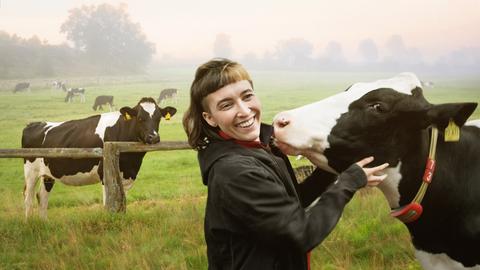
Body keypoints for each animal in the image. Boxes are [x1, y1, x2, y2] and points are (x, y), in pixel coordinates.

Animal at [21, 97, 177, 219]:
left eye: (158, 118)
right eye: (139, 118)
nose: (153, 137)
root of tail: (35, 124)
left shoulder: (127, 175)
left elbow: (123, 203)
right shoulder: (105, 174)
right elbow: (108, 203)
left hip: (48, 174)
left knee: (42, 197)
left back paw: (44, 223)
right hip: (30, 171)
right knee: (28, 198)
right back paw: (29, 224)